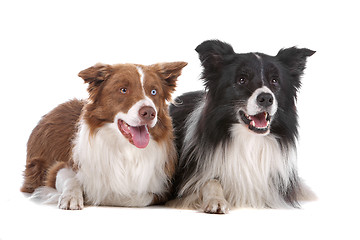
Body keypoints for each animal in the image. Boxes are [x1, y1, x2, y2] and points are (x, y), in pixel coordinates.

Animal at [20, 61, 187, 209]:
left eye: (154, 92)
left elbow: (134, 197)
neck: (126, 149)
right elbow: (69, 178)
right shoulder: (59, 168)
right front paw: (72, 197)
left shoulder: (162, 188)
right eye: (123, 90)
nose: (149, 112)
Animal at [169, 39, 316, 214]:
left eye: (274, 80)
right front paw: (216, 200)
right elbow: (210, 181)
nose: (266, 98)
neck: (250, 139)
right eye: (241, 80)